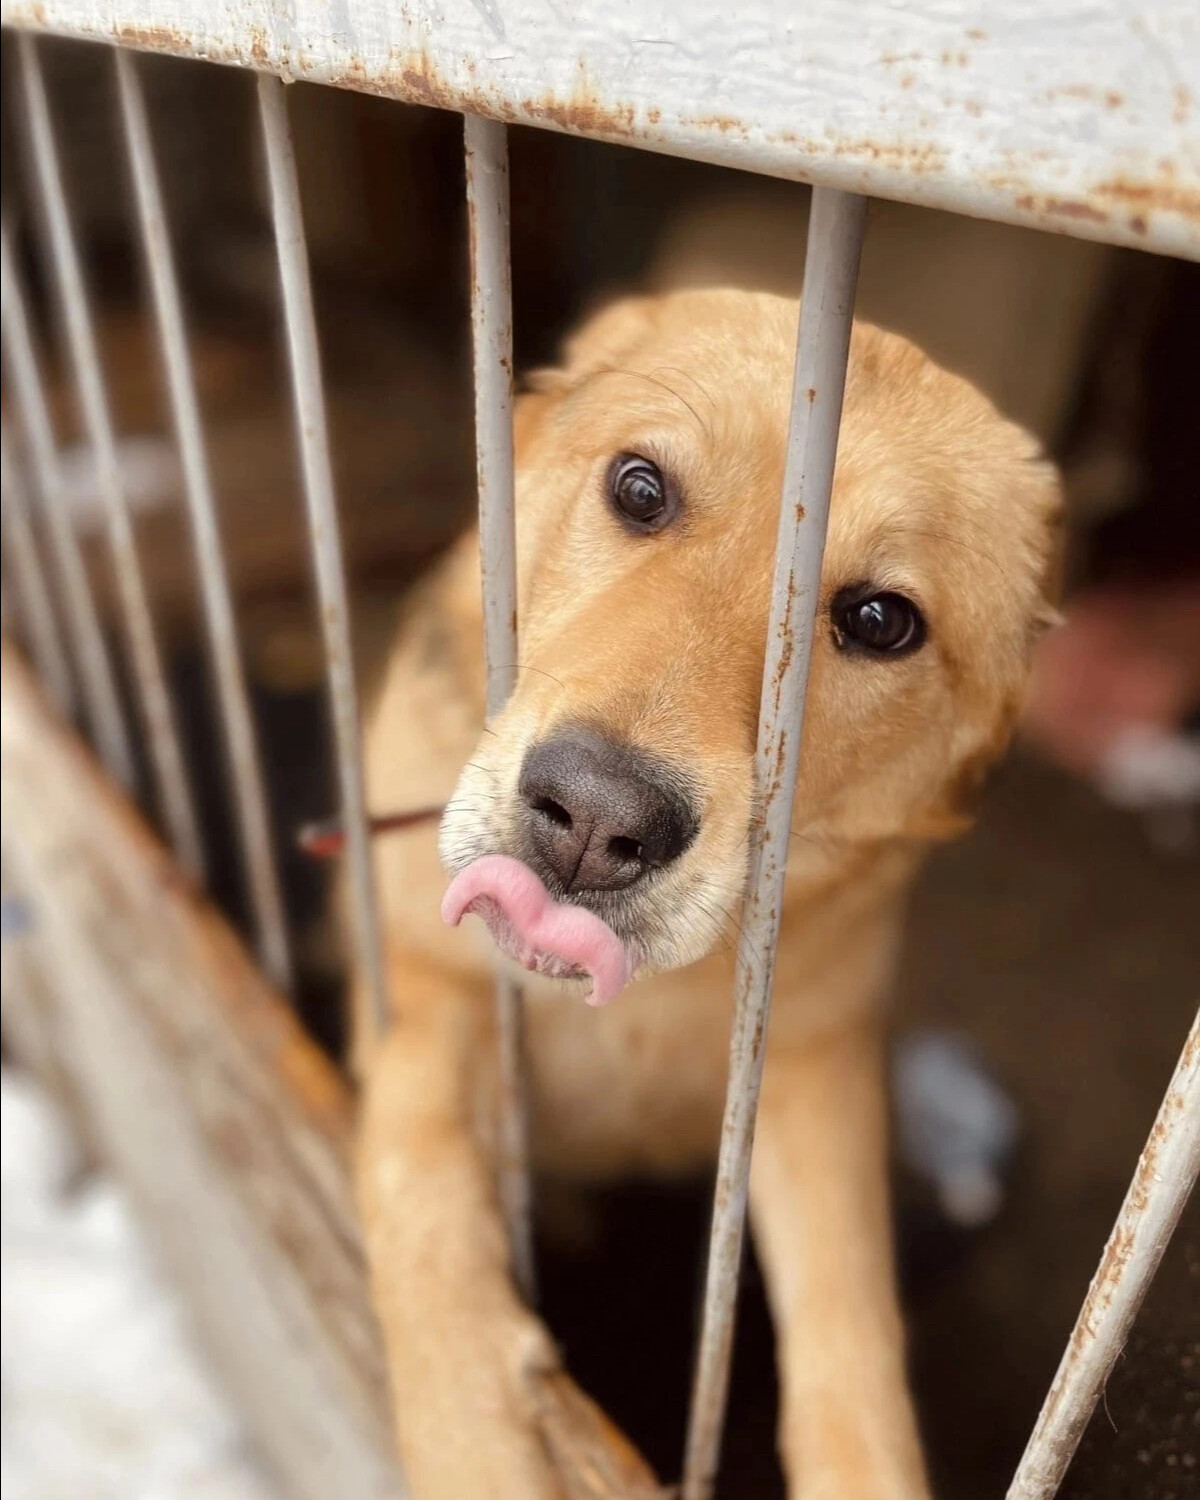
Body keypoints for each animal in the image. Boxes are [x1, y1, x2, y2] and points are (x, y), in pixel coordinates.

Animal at [349, 286, 1062, 1494]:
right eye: (641, 490)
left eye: (880, 622)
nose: (595, 822)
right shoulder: (421, 985)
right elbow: (411, 1164)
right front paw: (469, 1436)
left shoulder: (815, 1074)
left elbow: (850, 1322)